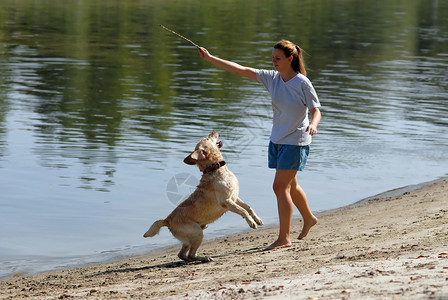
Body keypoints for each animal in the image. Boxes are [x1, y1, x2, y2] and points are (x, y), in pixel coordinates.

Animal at [144, 130, 262, 262]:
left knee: (183, 254)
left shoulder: (235, 197)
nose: (214, 131)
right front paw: (251, 223)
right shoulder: (226, 201)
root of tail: (167, 219)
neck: (214, 168)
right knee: (190, 254)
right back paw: (204, 258)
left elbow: (248, 207)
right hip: (197, 233)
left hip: (194, 235)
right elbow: (243, 210)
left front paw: (257, 219)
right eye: (207, 138)